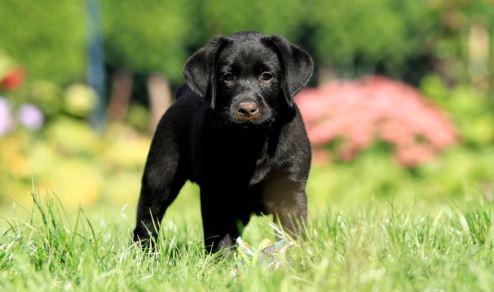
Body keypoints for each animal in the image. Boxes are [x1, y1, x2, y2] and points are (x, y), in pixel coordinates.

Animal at [132, 30, 312, 252]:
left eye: (267, 76)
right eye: (227, 77)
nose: (246, 108)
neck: (252, 142)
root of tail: (183, 93)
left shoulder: (290, 190)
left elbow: (293, 233)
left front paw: (296, 256)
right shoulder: (217, 194)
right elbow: (220, 238)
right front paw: (222, 260)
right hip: (159, 175)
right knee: (147, 220)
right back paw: (144, 253)